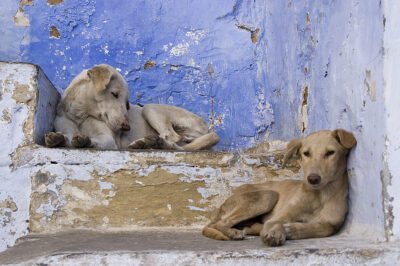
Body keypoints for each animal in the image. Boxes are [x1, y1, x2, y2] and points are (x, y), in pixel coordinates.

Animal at [45, 63, 220, 151]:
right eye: (115, 94)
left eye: (127, 103)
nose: (126, 127)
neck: (80, 114)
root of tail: (207, 128)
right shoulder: (67, 126)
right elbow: (67, 137)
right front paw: (59, 139)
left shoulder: (108, 140)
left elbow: (95, 140)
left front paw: (85, 140)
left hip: (149, 108)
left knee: (172, 139)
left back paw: (154, 143)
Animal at [203, 129, 356, 245]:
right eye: (306, 153)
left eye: (330, 153)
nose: (312, 179)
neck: (320, 195)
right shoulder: (281, 215)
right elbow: (275, 222)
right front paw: (275, 233)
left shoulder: (331, 224)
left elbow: (322, 228)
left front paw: (293, 229)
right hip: (268, 195)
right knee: (221, 223)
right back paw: (234, 232)